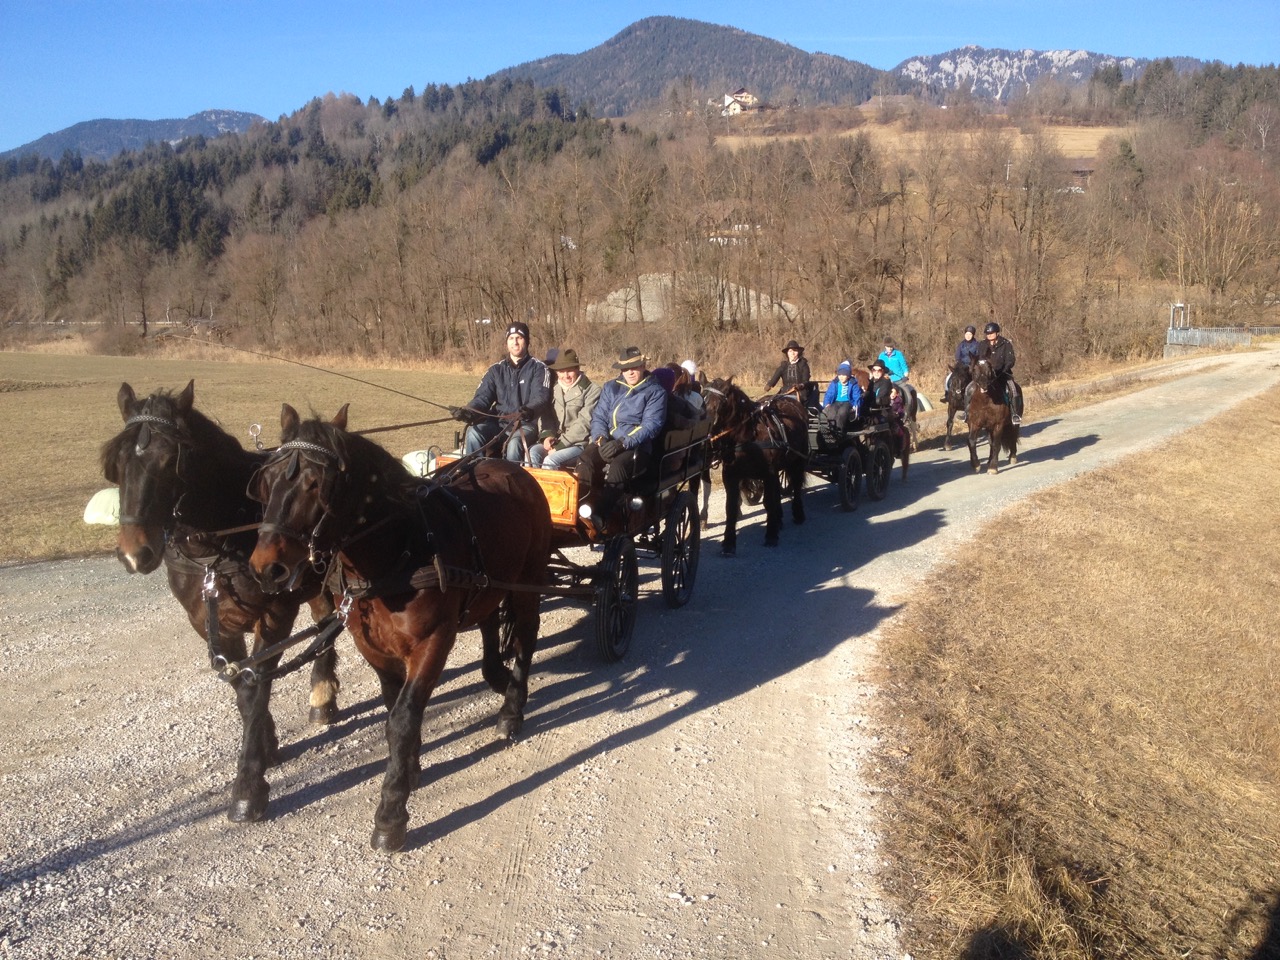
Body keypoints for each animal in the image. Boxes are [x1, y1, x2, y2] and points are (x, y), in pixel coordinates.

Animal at [101, 384, 340, 829]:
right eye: (119, 460)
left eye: (171, 460)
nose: (134, 554)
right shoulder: (209, 622)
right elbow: (241, 690)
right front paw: (265, 745)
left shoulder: (275, 615)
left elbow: (255, 687)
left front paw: (248, 787)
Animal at [248, 401, 550, 855]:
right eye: (265, 482)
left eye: (316, 484)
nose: (267, 569)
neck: (397, 553)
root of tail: (517, 469)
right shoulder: (374, 647)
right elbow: (394, 713)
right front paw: (408, 768)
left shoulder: (432, 642)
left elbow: (403, 719)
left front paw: (391, 813)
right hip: (489, 584)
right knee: (488, 622)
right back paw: (495, 676)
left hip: (527, 583)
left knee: (526, 638)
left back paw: (512, 709)